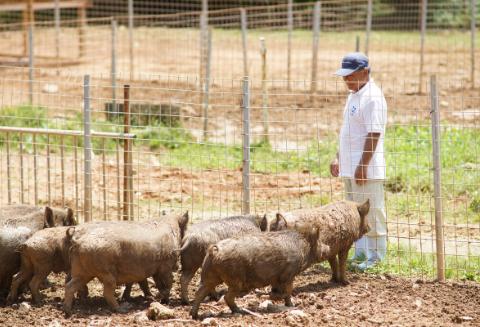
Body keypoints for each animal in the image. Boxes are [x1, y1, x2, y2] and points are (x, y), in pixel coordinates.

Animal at [189, 226, 328, 320]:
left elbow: (281, 289)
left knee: (200, 292)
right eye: (320, 241)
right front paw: (289, 304)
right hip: (234, 279)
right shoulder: (288, 274)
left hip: (209, 276)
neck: (303, 247)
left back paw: (194, 315)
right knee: (227, 296)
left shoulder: (276, 278)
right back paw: (239, 311)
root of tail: (214, 250)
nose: (328, 248)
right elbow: (288, 291)